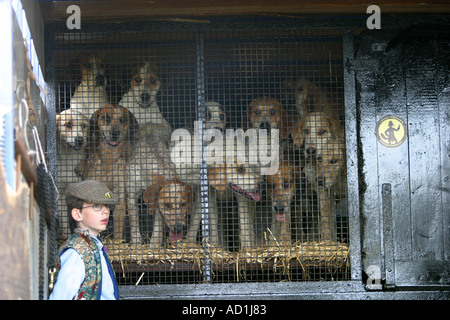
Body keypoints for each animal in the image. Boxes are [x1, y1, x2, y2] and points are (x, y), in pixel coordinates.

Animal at [77, 104, 138, 241]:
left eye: (122, 119)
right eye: (106, 118)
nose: (115, 133)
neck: (109, 158)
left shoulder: (120, 196)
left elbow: (118, 230)